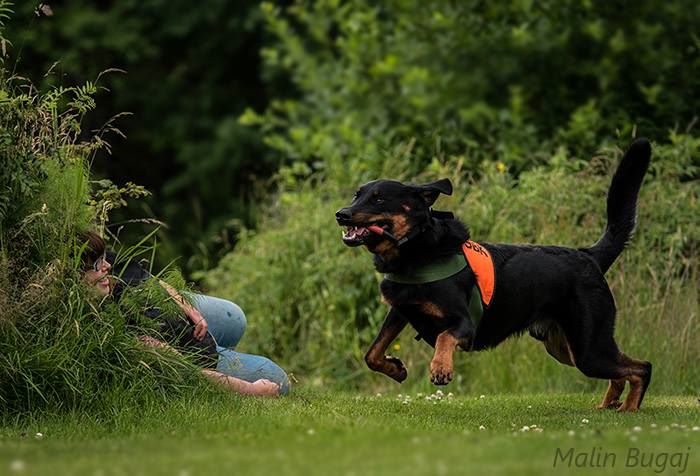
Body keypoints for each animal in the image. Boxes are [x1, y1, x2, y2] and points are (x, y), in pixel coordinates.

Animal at [336, 139, 652, 412]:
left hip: (587, 349)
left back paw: (629, 408)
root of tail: (589, 255)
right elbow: (372, 353)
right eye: (356, 195)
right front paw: (395, 368)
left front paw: (441, 367)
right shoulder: (401, 311)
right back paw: (610, 404)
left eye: (379, 199)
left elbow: (444, 338)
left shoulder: (463, 324)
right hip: (567, 348)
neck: (417, 250)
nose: (342, 214)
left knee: (642, 367)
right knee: (622, 371)